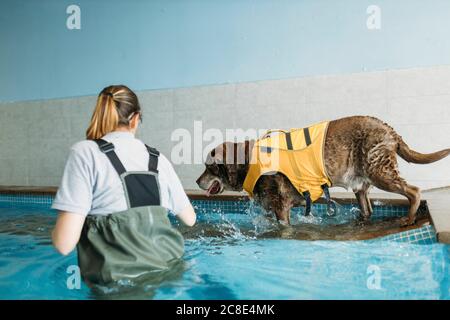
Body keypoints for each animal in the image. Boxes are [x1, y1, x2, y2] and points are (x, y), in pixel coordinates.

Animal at [197, 116, 450, 226]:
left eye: (209, 167)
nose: (199, 181)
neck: (248, 162)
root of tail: (390, 129)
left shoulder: (281, 209)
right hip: (361, 184)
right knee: (367, 207)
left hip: (380, 172)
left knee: (414, 191)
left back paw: (409, 218)